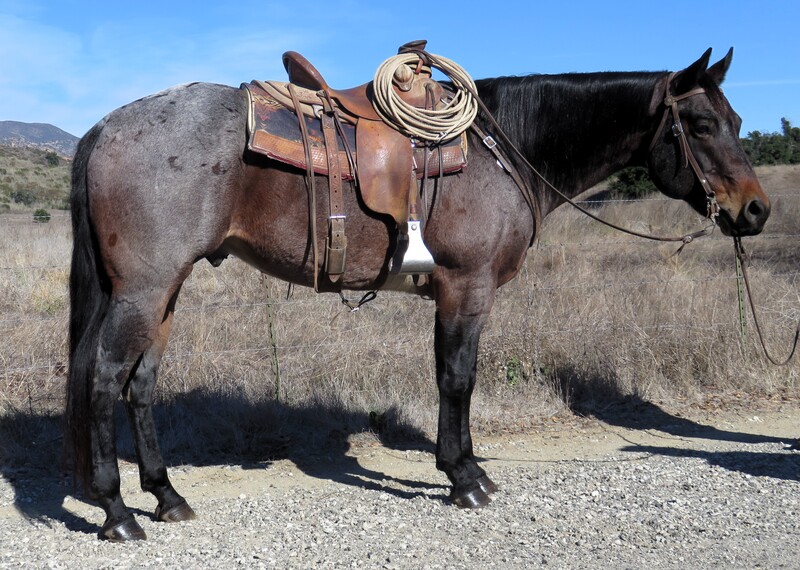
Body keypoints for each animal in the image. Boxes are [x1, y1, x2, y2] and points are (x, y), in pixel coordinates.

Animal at [66, 47, 769, 541]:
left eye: (736, 120)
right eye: (700, 123)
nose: (756, 210)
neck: (504, 149)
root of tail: (105, 126)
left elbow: (450, 377)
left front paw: (465, 467)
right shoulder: (467, 286)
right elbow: (458, 377)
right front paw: (463, 477)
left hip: (164, 292)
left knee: (140, 384)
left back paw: (165, 496)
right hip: (143, 290)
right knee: (103, 378)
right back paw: (117, 511)